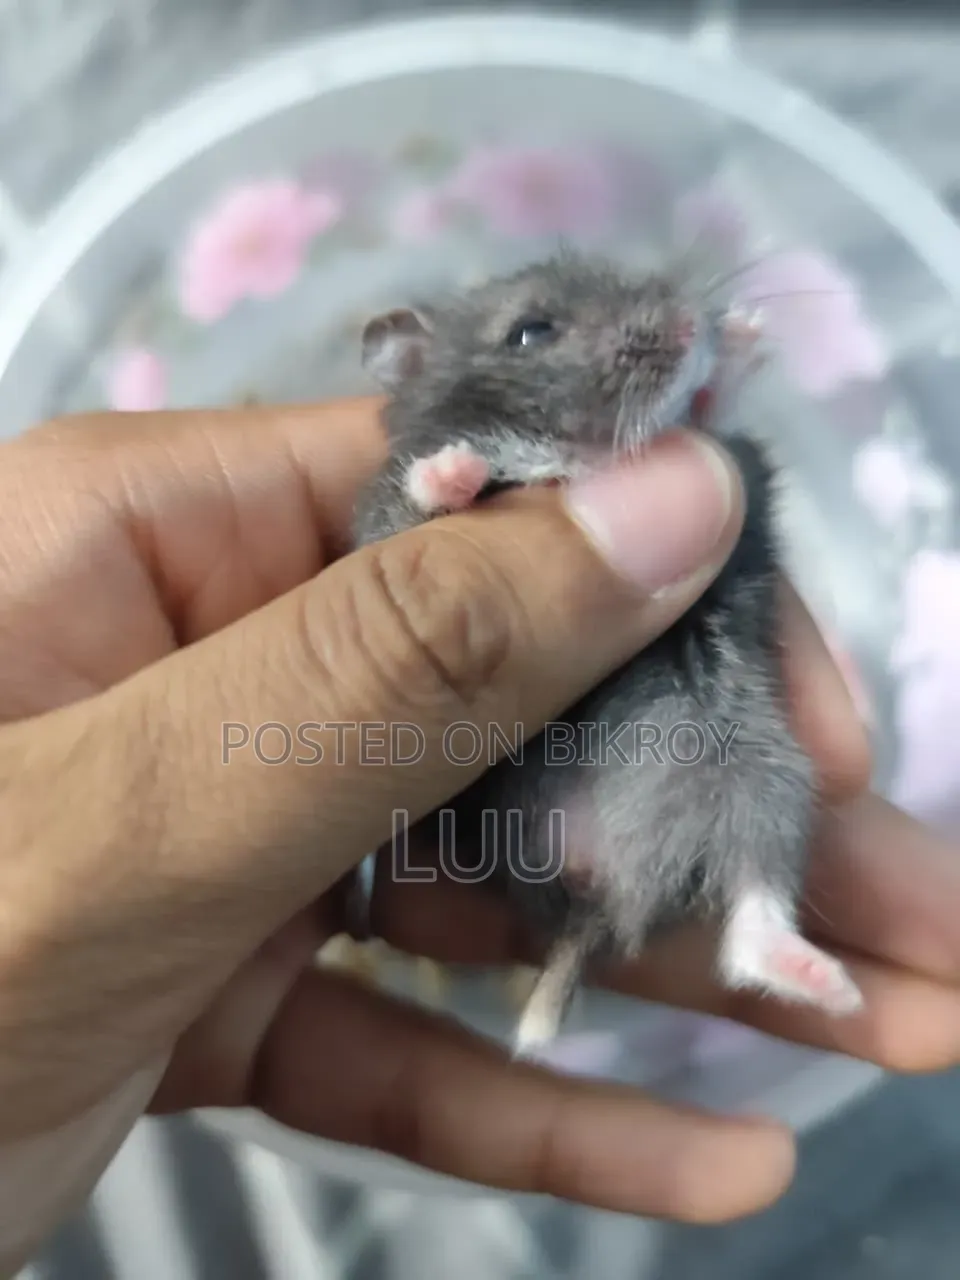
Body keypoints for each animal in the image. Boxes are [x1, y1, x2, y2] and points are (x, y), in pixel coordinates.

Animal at [350, 250, 863, 1056]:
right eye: (530, 332)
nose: (689, 322)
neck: (571, 453)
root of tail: (600, 884)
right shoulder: (383, 522)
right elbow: (429, 500)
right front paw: (453, 469)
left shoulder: (720, 450)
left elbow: (712, 411)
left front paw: (746, 332)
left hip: (762, 776)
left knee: (751, 912)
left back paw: (831, 986)